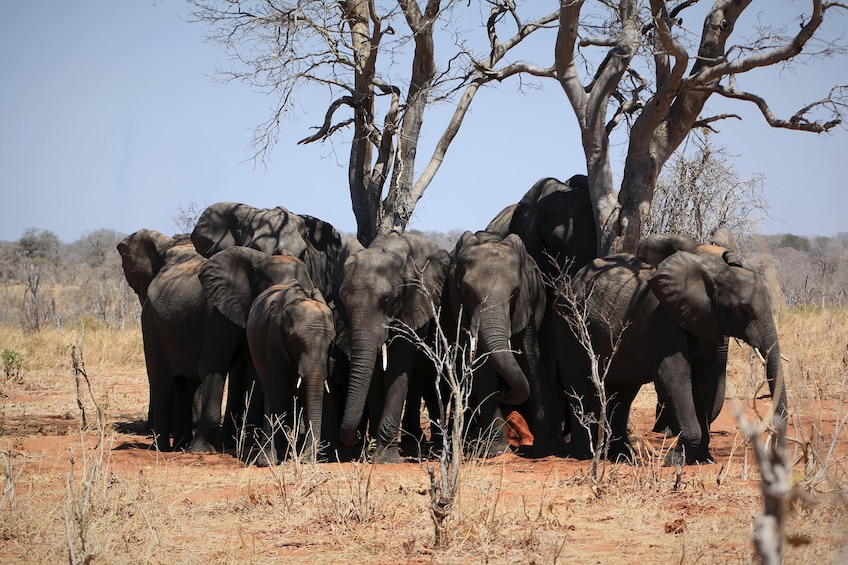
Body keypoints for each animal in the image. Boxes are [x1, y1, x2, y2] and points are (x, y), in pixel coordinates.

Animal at [197, 246, 332, 462]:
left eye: (330, 344)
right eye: (295, 341)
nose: (309, 459)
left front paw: (304, 459)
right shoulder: (272, 337)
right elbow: (276, 385)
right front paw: (269, 461)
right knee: (270, 388)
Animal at [334, 231, 450, 460]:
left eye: (389, 299)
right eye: (343, 300)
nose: (356, 437)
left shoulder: (413, 302)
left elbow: (397, 365)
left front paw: (384, 457)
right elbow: (375, 372)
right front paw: (375, 452)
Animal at [444, 231, 556, 456]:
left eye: (515, 293)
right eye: (467, 291)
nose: (505, 392)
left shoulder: (526, 304)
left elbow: (529, 356)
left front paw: (543, 449)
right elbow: (482, 364)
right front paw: (495, 451)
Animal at [556, 234, 788, 462]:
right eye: (742, 311)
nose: (773, 448)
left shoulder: (710, 320)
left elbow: (710, 379)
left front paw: (702, 460)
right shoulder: (661, 319)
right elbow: (673, 377)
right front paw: (674, 460)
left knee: (624, 394)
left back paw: (623, 457)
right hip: (569, 323)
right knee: (578, 384)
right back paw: (584, 455)